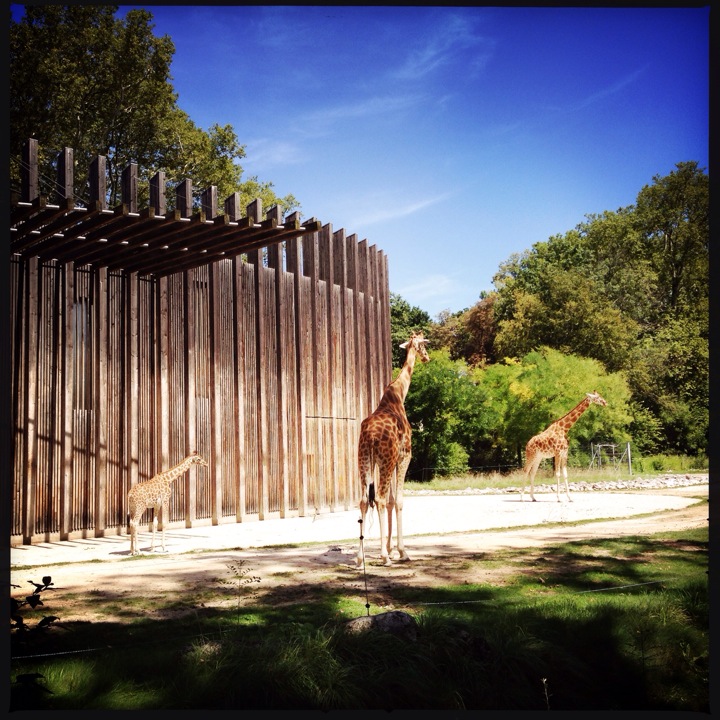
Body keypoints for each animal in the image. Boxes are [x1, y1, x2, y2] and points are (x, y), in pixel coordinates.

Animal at [354, 332, 428, 568]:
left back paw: (360, 558)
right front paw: (400, 552)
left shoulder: (391, 461)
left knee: (364, 500)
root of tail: (370, 435)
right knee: (378, 498)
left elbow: (391, 501)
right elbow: (399, 501)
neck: (399, 394)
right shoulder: (404, 457)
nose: (427, 358)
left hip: (364, 460)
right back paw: (384, 557)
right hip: (385, 461)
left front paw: (390, 549)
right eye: (423, 345)